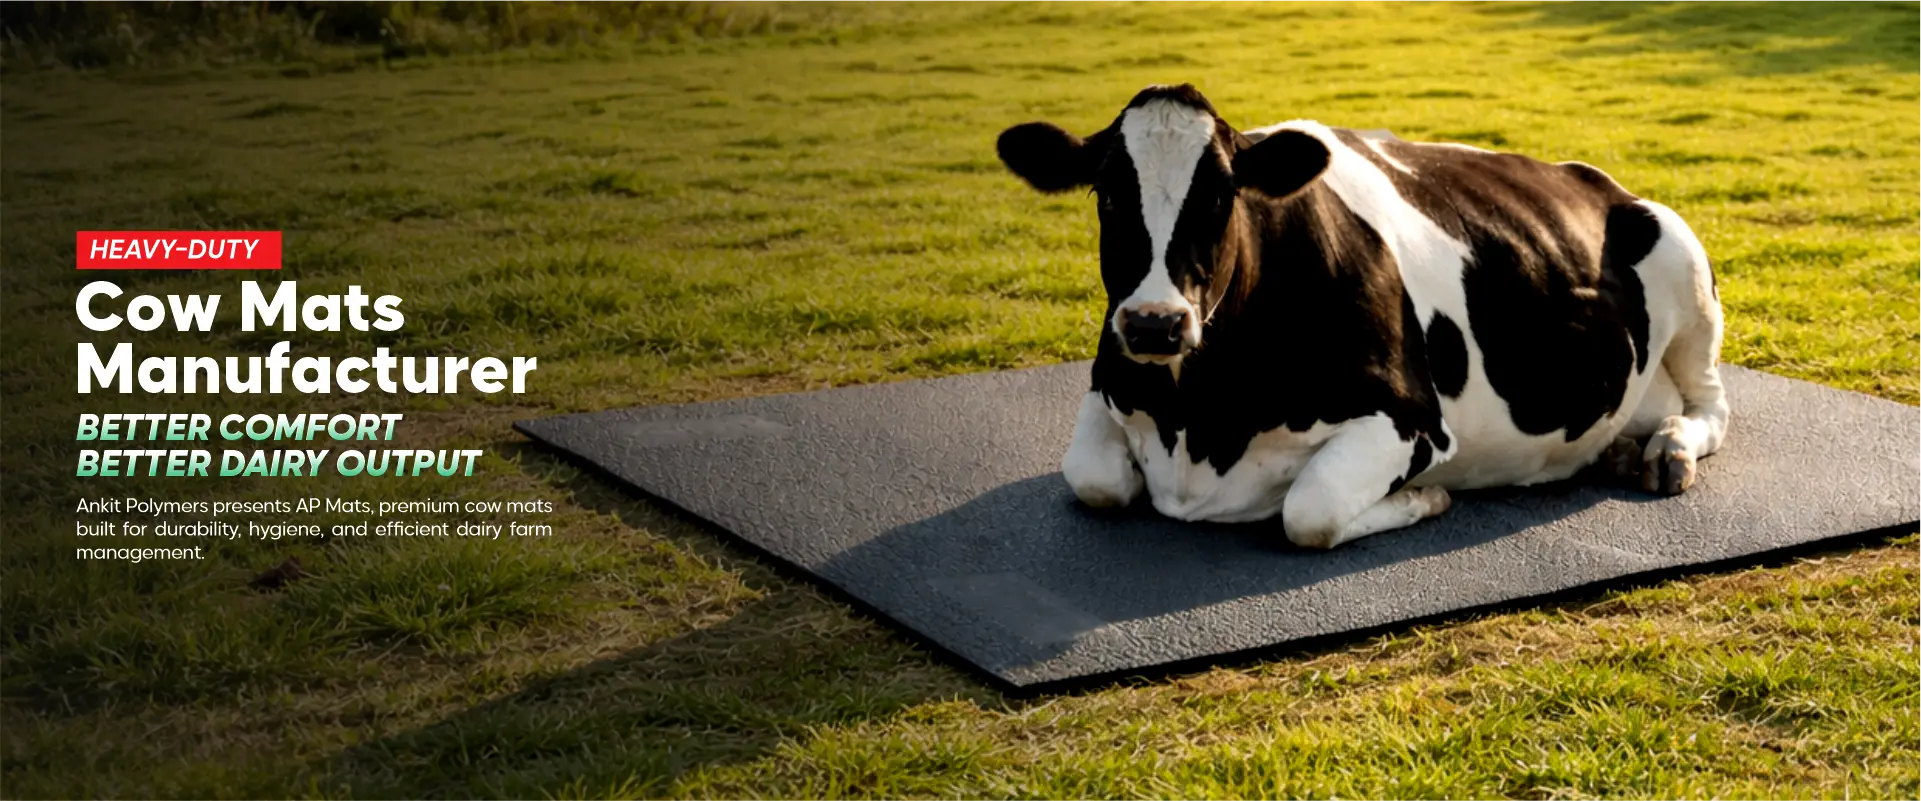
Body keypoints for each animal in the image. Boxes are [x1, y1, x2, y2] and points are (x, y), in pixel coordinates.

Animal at [995, 84, 1729, 549]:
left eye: (1222, 194)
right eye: (1107, 193)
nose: (1154, 323)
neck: (1197, 422)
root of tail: (1594, 178)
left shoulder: (1410, 422)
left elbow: (1307, 511)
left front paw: (1425, 500)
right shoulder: (1107, 383)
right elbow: (1094, 479)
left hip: (1682, 260)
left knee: (1709, 404)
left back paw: (1665, 450)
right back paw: (1622, 449)